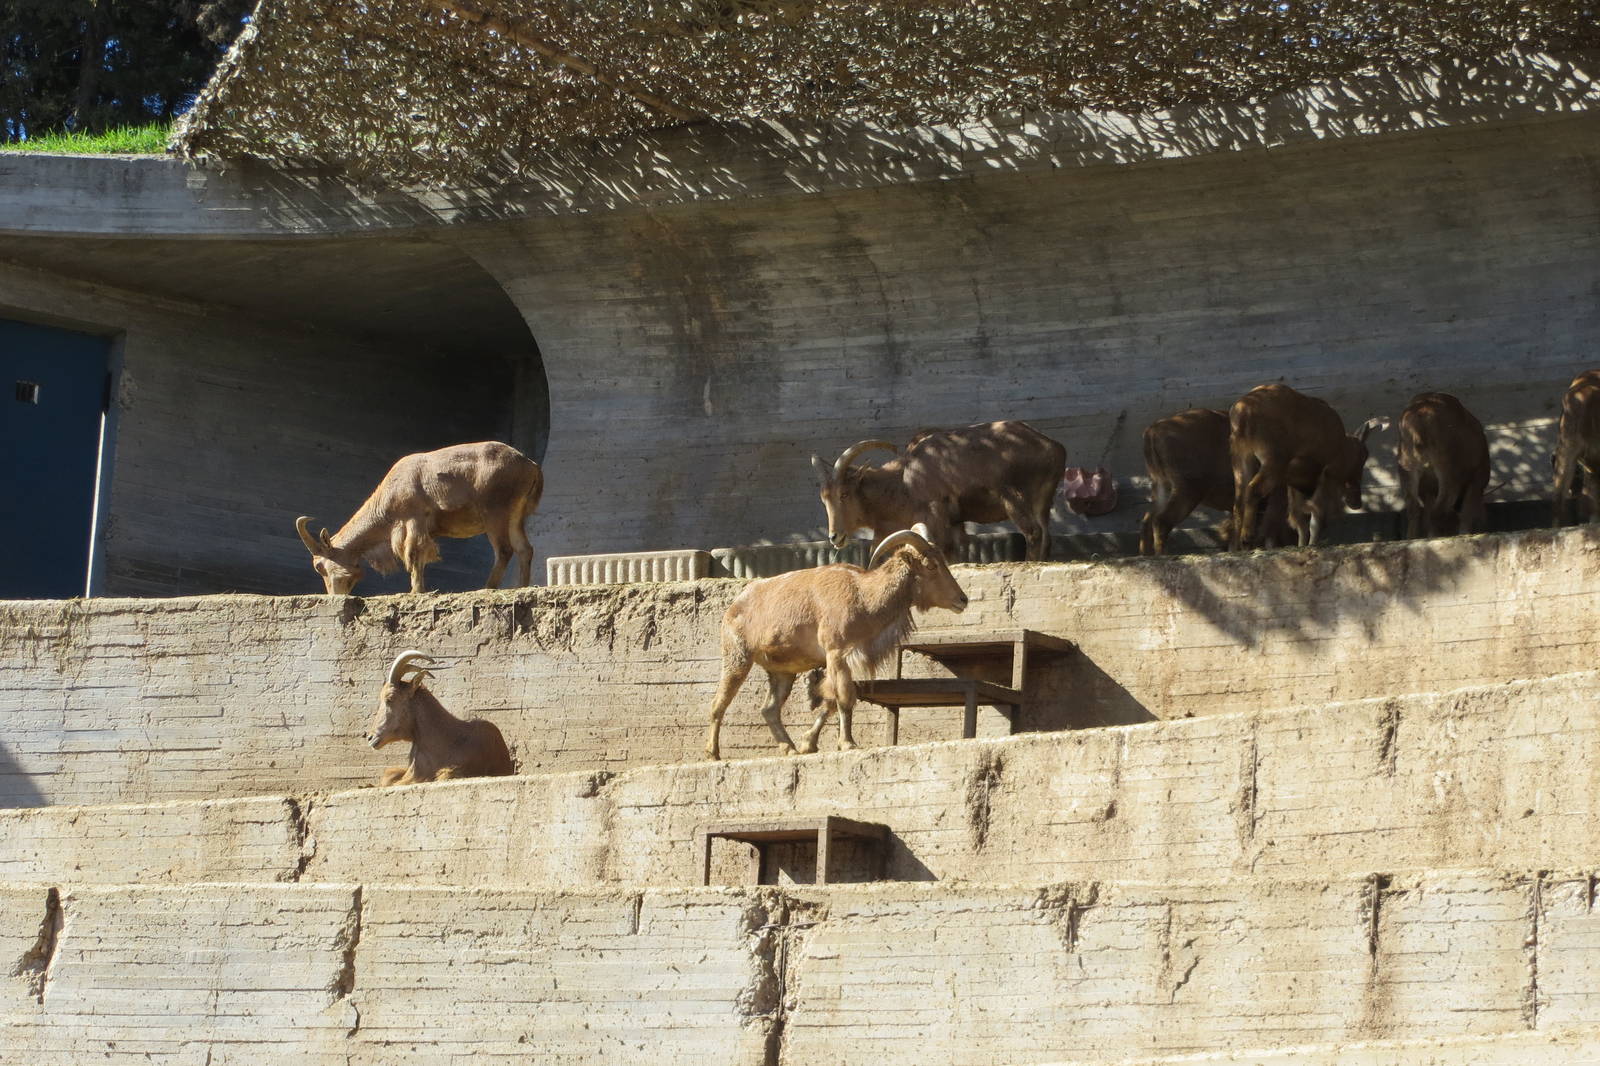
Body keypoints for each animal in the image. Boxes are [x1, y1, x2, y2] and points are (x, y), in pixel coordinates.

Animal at [297, 441, 542, 595]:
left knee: (504, 549)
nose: (335, 595)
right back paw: (521, 586)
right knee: (524, 549)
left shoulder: (413, 518)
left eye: (319, 566)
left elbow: (414, 552)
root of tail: (530, 465)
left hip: (495, 511)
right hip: (515, 515)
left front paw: (416, 590)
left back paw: (487, 587)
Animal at [703, 524, 969, 761]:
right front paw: (848, 743)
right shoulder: (837, 653)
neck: (864, 595)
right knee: (718, 704)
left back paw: (789, 748)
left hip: (783, 672)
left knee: (769, 709)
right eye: (931, 565)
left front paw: (807, 744)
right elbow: (844, 697)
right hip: (738, 658)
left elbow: (831, 700)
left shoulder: (844, 658)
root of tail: (733, 606)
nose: (962, 599)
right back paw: (713, 754)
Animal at [811, 421, 1066, 562]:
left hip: (1014, 499)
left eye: (844, 494)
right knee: (1046, 535)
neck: (904, 481)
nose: (835, 536)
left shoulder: (936, 516)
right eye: (823, 499)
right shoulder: (955, 523)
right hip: (1043, 503)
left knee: (1033, 532)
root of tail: (1053, 447)